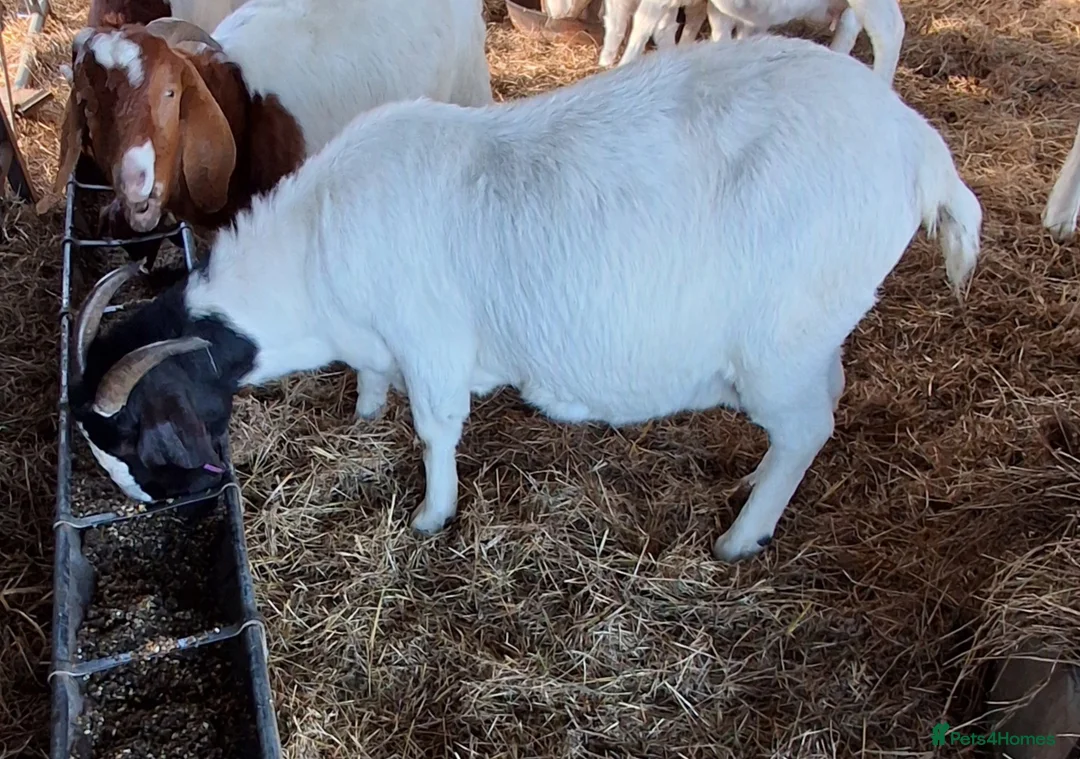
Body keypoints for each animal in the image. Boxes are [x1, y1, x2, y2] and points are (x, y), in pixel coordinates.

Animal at [70, 35, 981, 563]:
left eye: (144, 442)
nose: (164, 510)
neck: (313, 251)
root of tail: (920, 147)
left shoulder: (432, 341)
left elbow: (436, 430)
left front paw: (432, 517)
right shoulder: (381, 341)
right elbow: (374, 384)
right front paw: (361, 417)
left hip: (780, 343)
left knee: (807, 427)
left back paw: (739, 536)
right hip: (814, 334)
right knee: (822, 403)